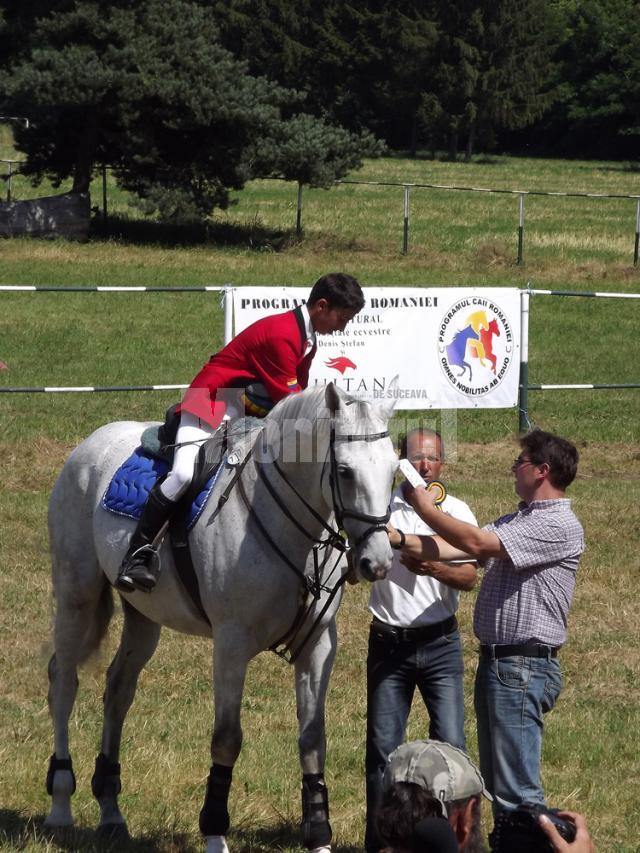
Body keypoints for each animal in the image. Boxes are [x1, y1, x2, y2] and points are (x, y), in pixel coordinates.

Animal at [45, 382, 398, 848]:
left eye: (394, 470)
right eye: (344, 472)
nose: (378, 562)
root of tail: (91, 443)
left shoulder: (320, 645)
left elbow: (311, 737)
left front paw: (320, 834)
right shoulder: (231, 645)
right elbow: (227, 739)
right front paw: (215, 832)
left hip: (143, 616)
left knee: (118, 690)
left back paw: (110, 809)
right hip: (77, 596)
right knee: (64, 682)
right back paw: (60, 802)